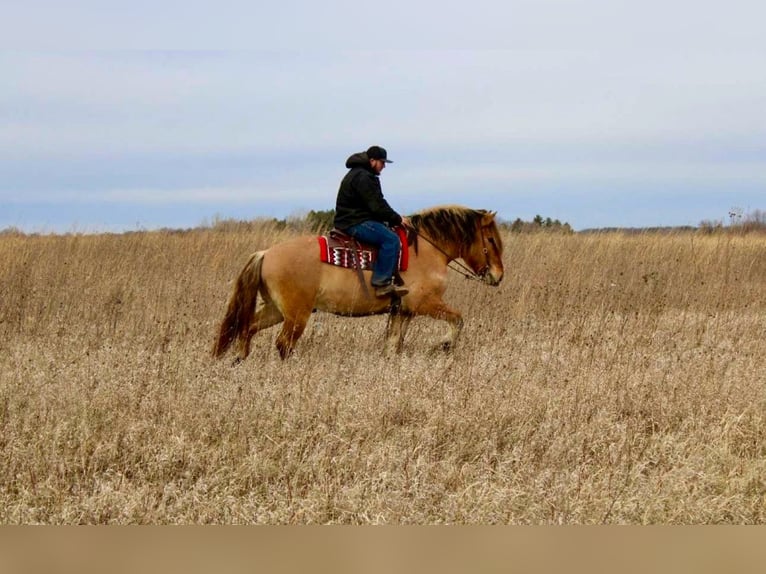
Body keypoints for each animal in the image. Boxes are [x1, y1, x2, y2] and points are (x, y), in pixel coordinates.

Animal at [213, 205, 508, 362]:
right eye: (491, 240)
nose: (498, 275)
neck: (425, 248)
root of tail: (266, 253)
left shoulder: (402, 312)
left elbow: (393, 344)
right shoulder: (425, 304)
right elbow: (458, 319)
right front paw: (445, 344)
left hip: (276, 310)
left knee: (247, 328)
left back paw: (239, 360)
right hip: (296, 315)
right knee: (283, 344)